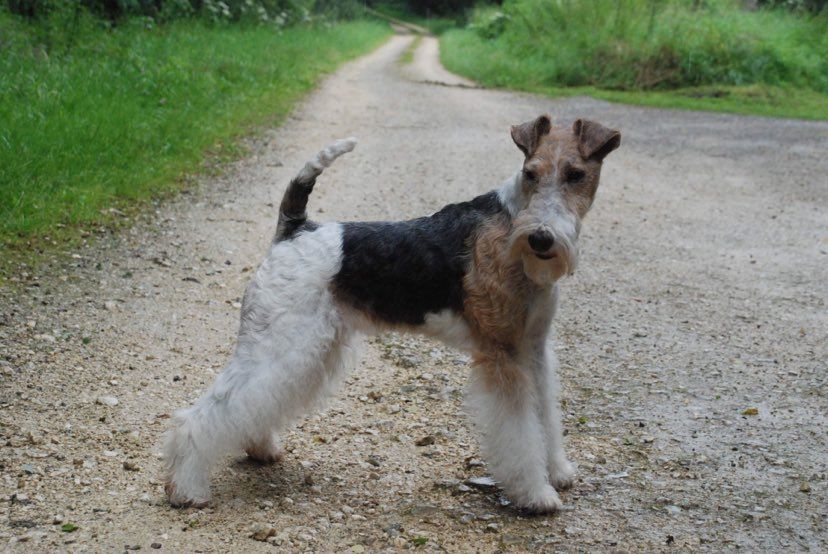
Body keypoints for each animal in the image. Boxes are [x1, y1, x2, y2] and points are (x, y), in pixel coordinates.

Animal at [162, 114, 616, 512]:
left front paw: (558, 472)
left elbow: (546, 417)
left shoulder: (534, 349)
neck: (511, 223)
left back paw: (260, 448)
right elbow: (522, 431)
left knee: (254, 403)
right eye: (531, 173)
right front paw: (537, 495)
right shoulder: (503, 354)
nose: (541, 239)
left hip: (305, 347)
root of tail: (295, 229)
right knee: (204, 414)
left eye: (576, 174)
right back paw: (186, 489)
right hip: (279, 341)